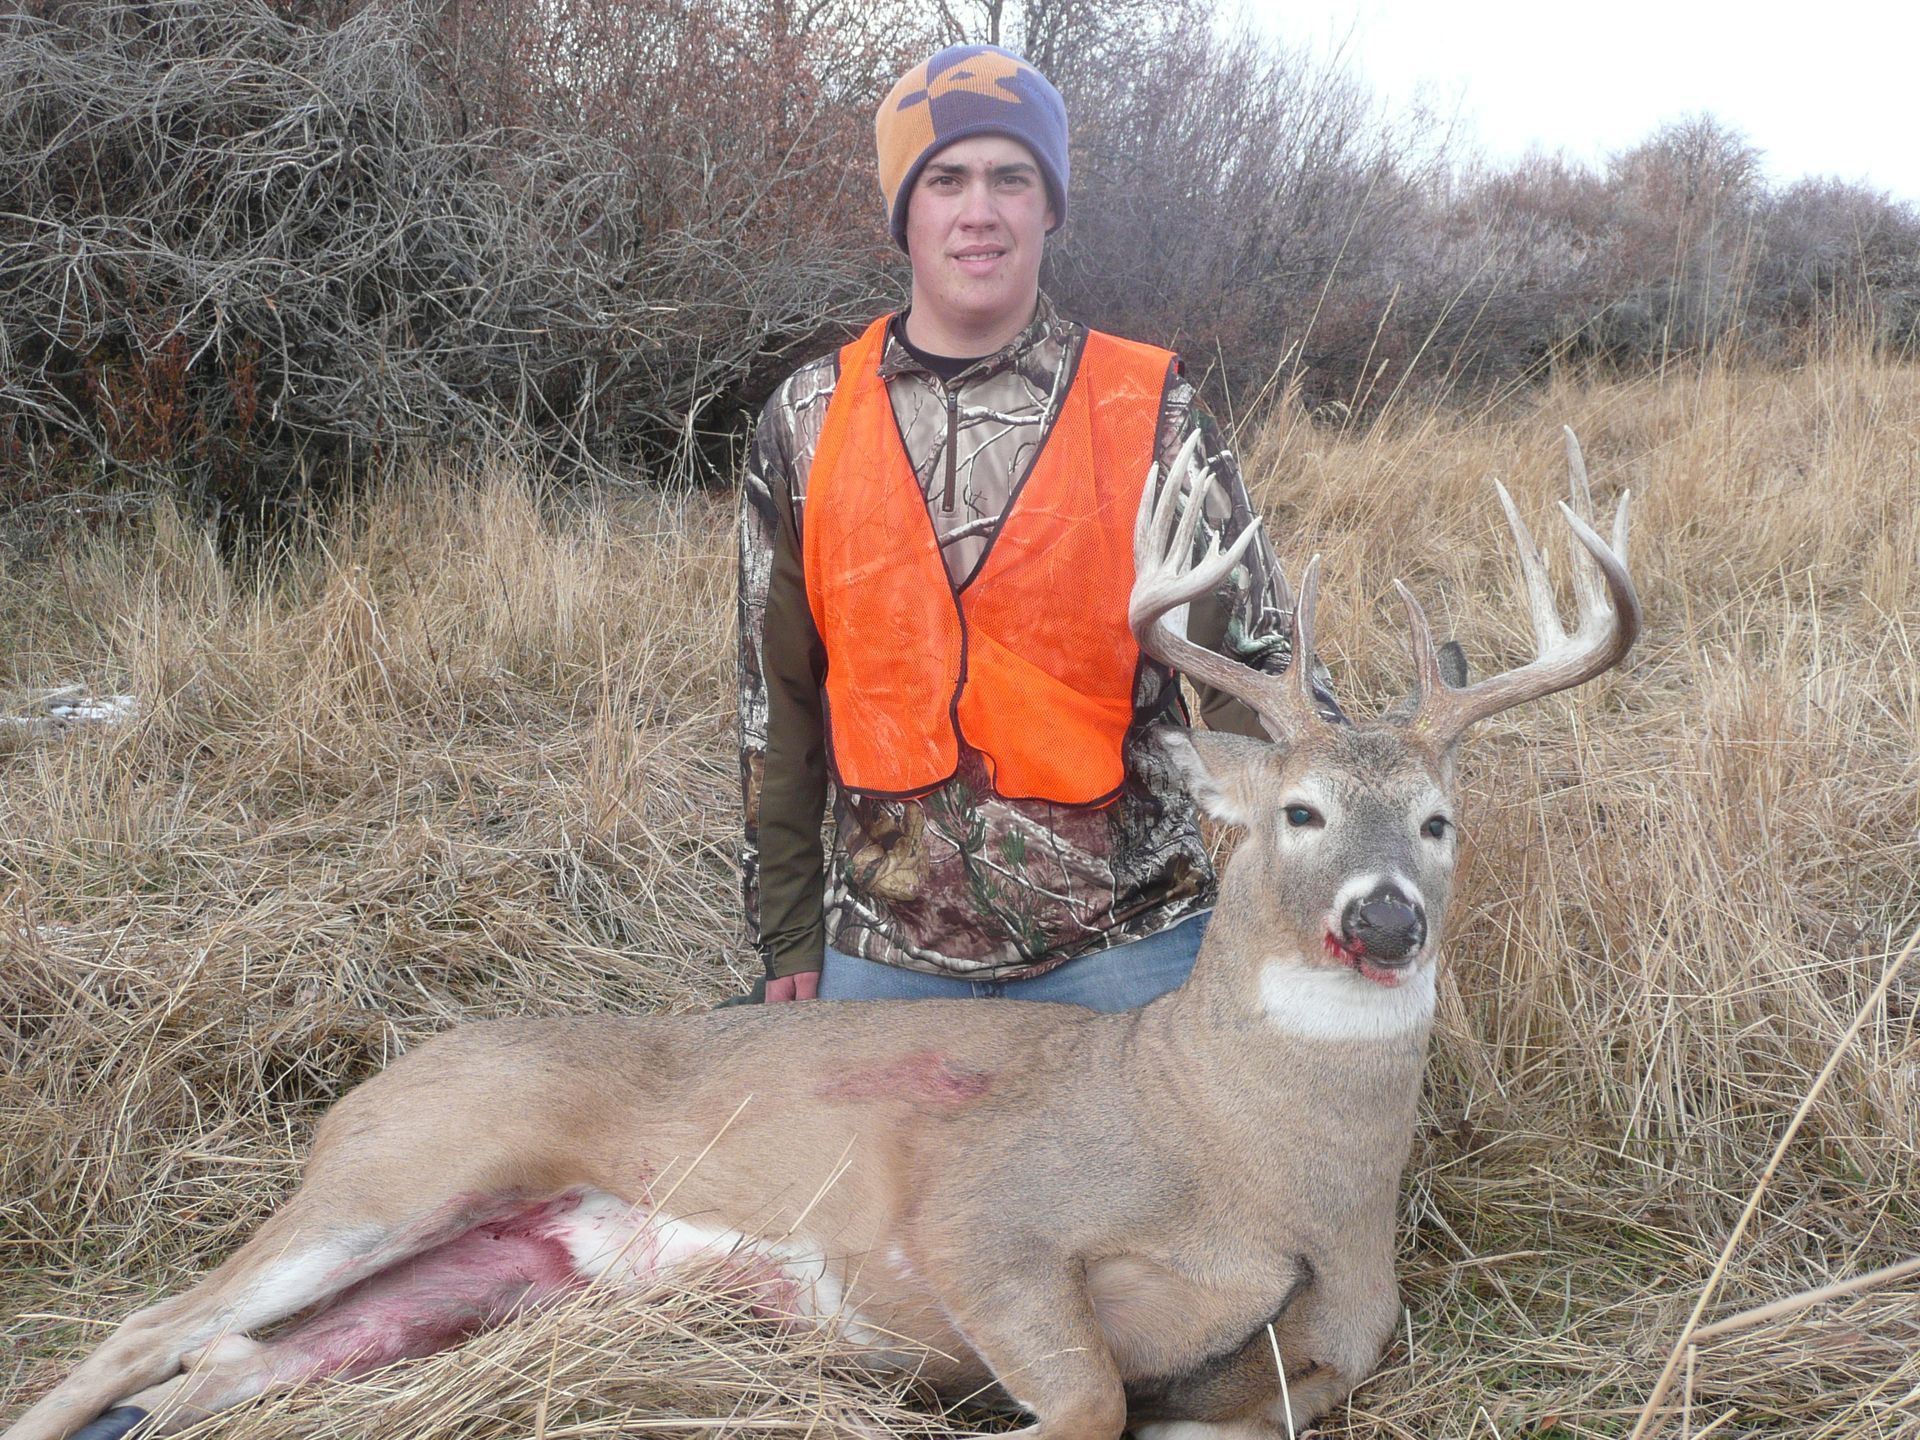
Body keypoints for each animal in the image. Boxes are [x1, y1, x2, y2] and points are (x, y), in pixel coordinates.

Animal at [4, 429, 1639, 1440]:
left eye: (1440, 822)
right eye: (1297, 813)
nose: (1385, 919)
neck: (1249, 1157)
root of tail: (363, 1090)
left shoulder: (1345, 1328)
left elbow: (1264, 1385)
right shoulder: (982, 1215)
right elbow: (1088, 1397)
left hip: (478, 1279)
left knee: (222, 1368)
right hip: (405, 1171)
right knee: (147, 1327)